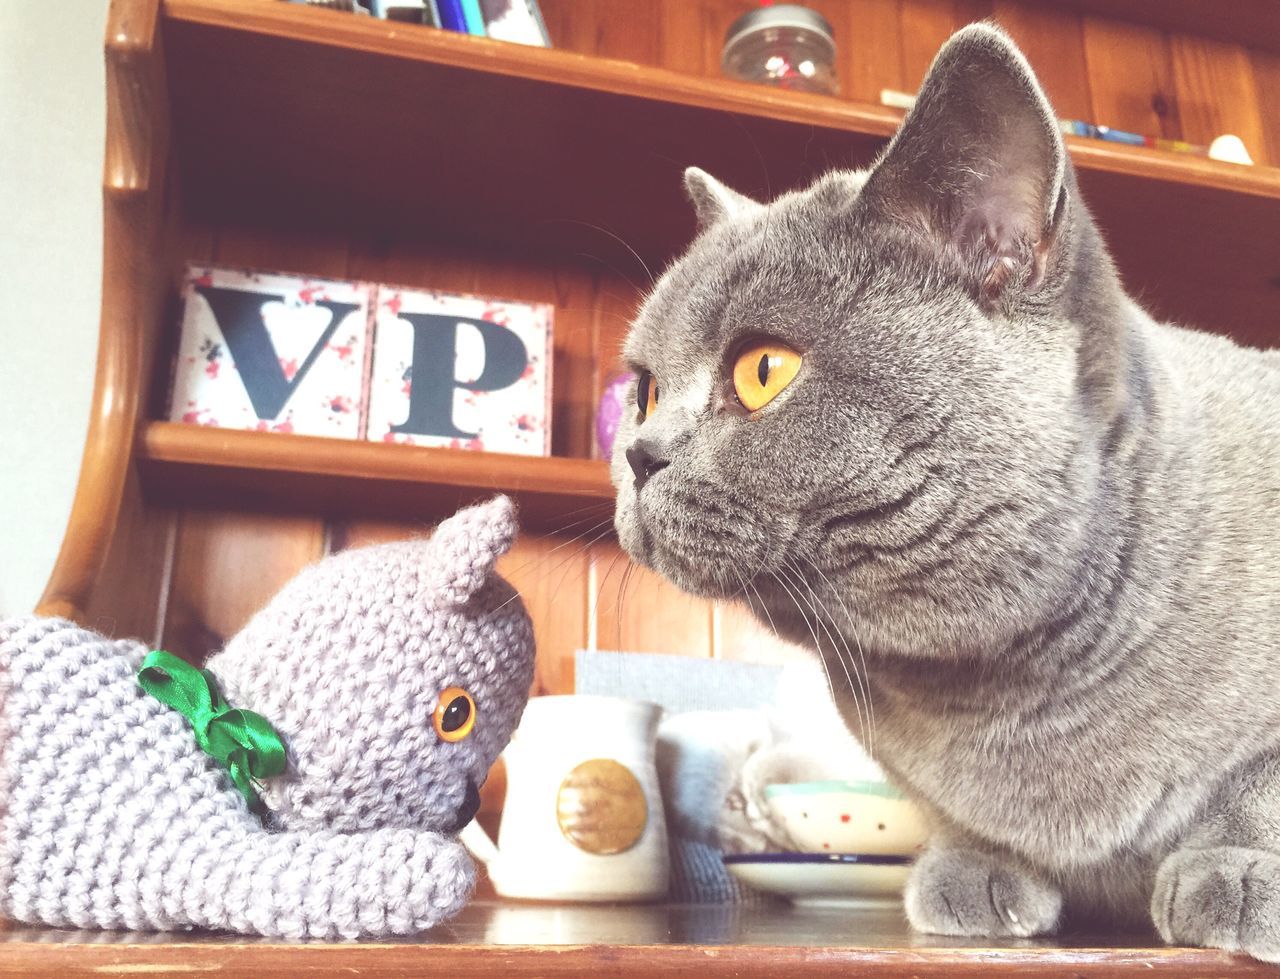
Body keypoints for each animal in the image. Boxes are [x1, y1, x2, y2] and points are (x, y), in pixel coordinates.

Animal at [609, 20, 1280, 957]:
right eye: (644, 390)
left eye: (763, 370)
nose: (638, 453)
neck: (1000, 689)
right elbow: (956, 817)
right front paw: (976, 870)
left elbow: (1260, 782)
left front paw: (1241, 874)